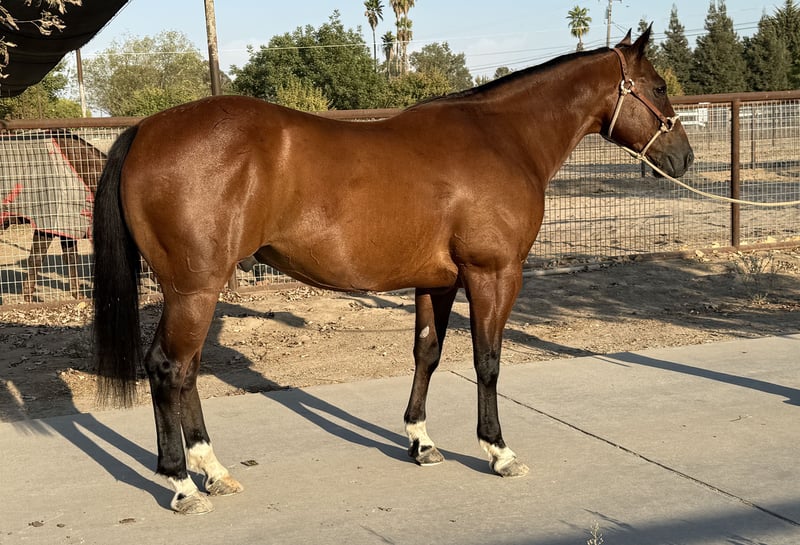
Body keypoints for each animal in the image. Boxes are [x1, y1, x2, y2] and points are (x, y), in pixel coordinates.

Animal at [93, 29, 693, 514]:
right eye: (660, 86)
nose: (684, 159)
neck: (504, 137)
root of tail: (145, 131)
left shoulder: (437, 281)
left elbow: (428, 352)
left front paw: (421, 443)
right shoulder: (493, 274)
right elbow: (488, 360)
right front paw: (498, 451)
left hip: (196, 292)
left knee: (187, 371)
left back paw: (212, 472)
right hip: (193, 289)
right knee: (168, 368)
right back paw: (182, 484)